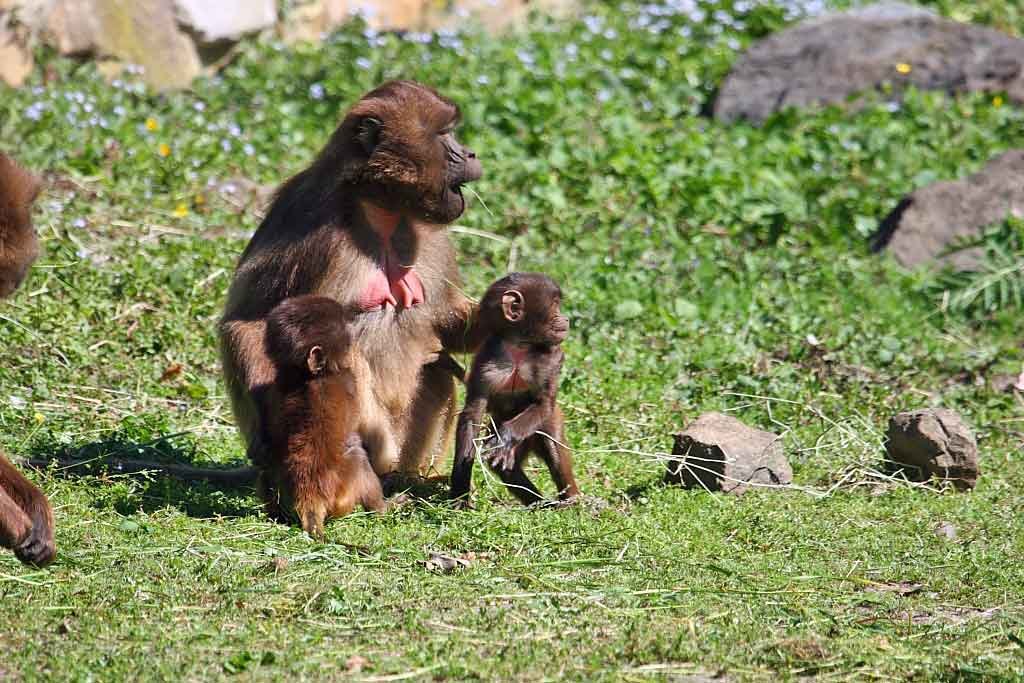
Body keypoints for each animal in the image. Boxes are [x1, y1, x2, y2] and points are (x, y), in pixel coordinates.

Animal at [219, 80, 484, 510]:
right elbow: (248, 320)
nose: (472, 154)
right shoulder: (310, 224)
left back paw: (408, 479)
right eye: (444, 134)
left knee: (435, 367)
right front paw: (263, 435)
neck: (378, 209)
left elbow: (444, 319)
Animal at [258, 295, 393, 536]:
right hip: (342, 497)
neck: (305, 375)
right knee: (358, 456)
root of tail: (310, 500)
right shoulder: (348, 380)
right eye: (347, 337)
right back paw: (383, 508)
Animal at [449, 272, 580, 507]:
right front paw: (460, 489)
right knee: (506, 468)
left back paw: (570, 501)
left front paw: (506, 438)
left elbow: (544, 403)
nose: (565, 319)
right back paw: (539, 504)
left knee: (551, 442)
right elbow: (472, 414)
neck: (519, 347)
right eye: (555, 304)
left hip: (547, 423)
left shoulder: (550, 357)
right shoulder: (486, 361)